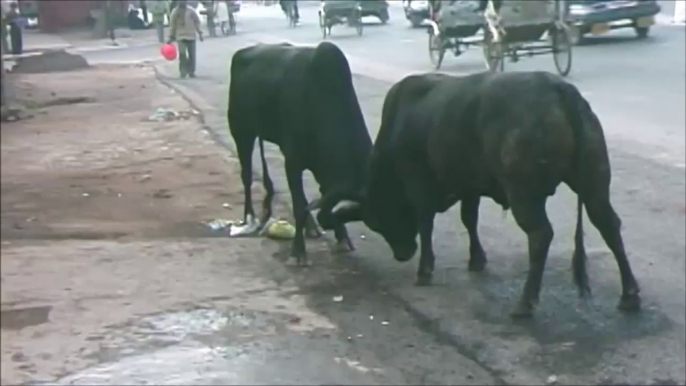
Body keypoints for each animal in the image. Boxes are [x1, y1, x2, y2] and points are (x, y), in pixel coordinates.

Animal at [228, 41, 374, 266]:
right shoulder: (293, 162)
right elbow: (299, 207)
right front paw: (298, 252)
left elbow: (320, 198)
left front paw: (342, 238)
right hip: (241, 132)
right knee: (246, 177)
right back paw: (249, 217)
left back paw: (311, 228)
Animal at [330, 71, 644, 316]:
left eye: (379, 221)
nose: (402, 254)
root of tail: (557, 88)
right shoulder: (469, 185)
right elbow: (469, 219)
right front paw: (477, 259)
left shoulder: (419, 183)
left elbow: (426, 222)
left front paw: (425, 269)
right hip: (594, 183)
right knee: (607, 224)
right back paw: (629, 295)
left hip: (523, 194)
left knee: (540, 234)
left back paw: (525, 303)